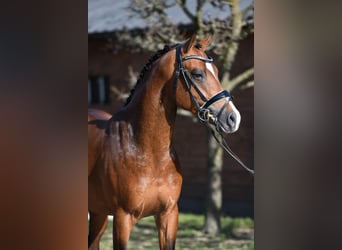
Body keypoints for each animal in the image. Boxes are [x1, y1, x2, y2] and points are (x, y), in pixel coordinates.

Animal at [89, 34, 242, 249]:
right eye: (197, 74)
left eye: (217, 72)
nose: (233, 118)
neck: (145, 151)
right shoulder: (122, 219)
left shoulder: (169, 214)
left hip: (98, 213)